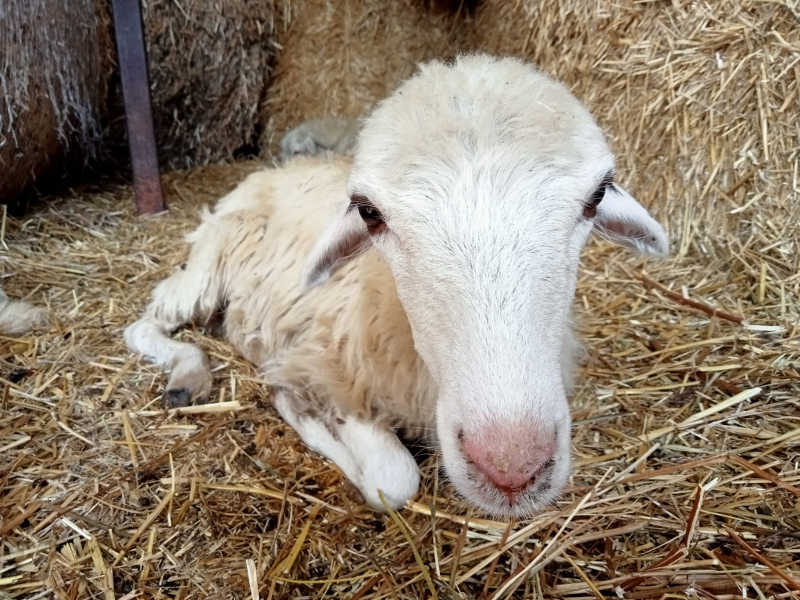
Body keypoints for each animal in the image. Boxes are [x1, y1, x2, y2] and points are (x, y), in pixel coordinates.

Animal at [125, 54, 664, 516]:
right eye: (369, 212)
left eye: (597, 197)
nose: (511, 467)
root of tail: (273, 170)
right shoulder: (324, 363)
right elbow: (392, 482)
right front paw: (300, 409)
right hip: (208, 263)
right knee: (146, 323)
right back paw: (187, 376)